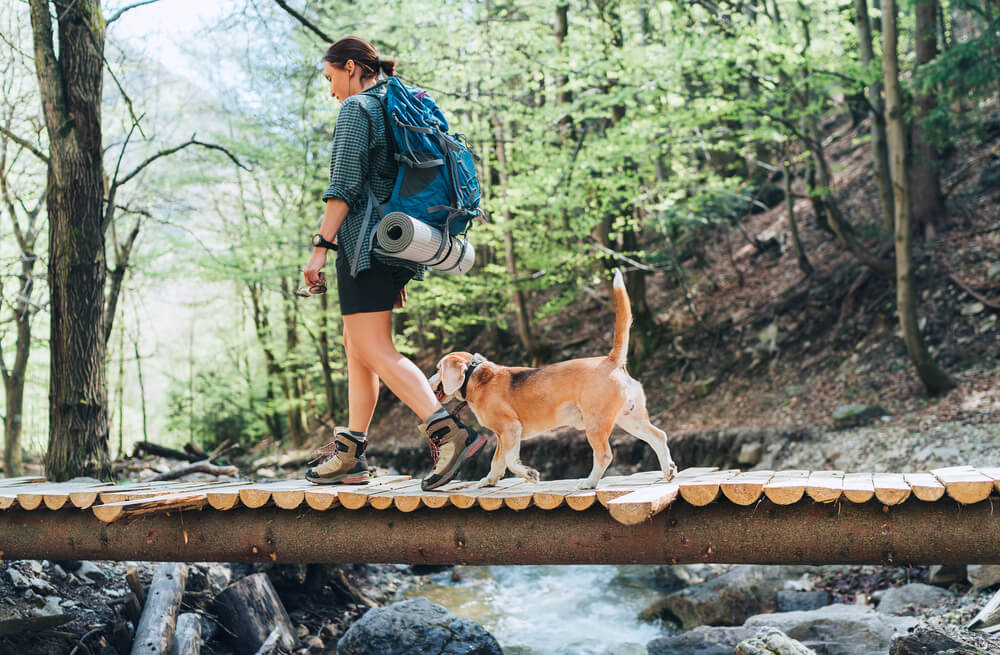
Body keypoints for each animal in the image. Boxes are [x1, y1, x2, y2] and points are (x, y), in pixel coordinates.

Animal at [430, 270, 680, 490]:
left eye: (437, 368)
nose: (429, 381)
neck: (475, 376)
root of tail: (611, 360)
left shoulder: (510, 429)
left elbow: (510, 461)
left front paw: (529, 474)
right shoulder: (501, 436)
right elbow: (497, 462)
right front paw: (489, 481)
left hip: (596, 423)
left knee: (604, 455)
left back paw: (589, 483)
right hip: (629, 419)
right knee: (659, 436)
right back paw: (668, 470)